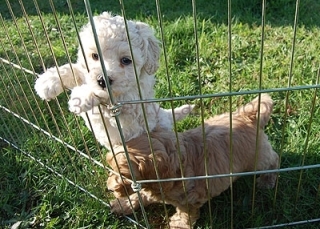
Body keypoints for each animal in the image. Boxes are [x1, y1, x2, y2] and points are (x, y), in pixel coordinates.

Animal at [36, 12, 194, 150]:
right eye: (95, 56)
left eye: (126, 60)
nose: (102, 80)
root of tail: (164, 114)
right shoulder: (86, 73)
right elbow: (75, 70)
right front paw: (47, 82)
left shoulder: (129, 106)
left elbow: (103, 98)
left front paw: (80, 97)